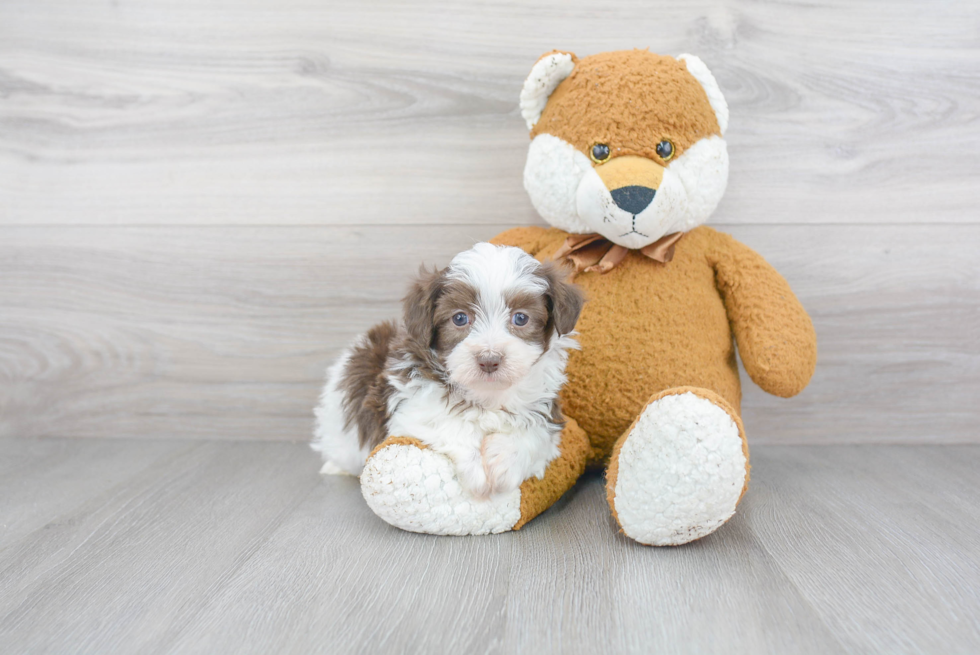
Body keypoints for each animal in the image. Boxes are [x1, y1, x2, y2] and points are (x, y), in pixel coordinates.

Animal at [312, 243, 580, 500]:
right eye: (460, 318)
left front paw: (504, 463)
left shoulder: (546, 407)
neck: (487, 392)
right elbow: (445, 418)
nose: (489, 360)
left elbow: (535, 431)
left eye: (521, 318)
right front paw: (476, 472)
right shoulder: (410, 401)